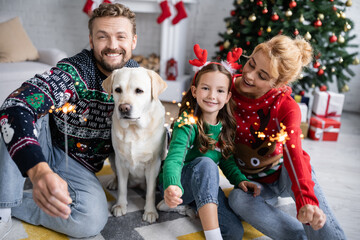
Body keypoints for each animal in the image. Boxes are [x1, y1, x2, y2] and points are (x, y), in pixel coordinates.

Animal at [102, 67, 167, 223]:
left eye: (139, 91)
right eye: (117, 90)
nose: (124, 108)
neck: (133, 128)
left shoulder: (153, 164)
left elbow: (150, 192)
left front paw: (150, 211)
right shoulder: (121, 161)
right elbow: (122, 188)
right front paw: (120, 205)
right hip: (112, 156)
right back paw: (113, 182)